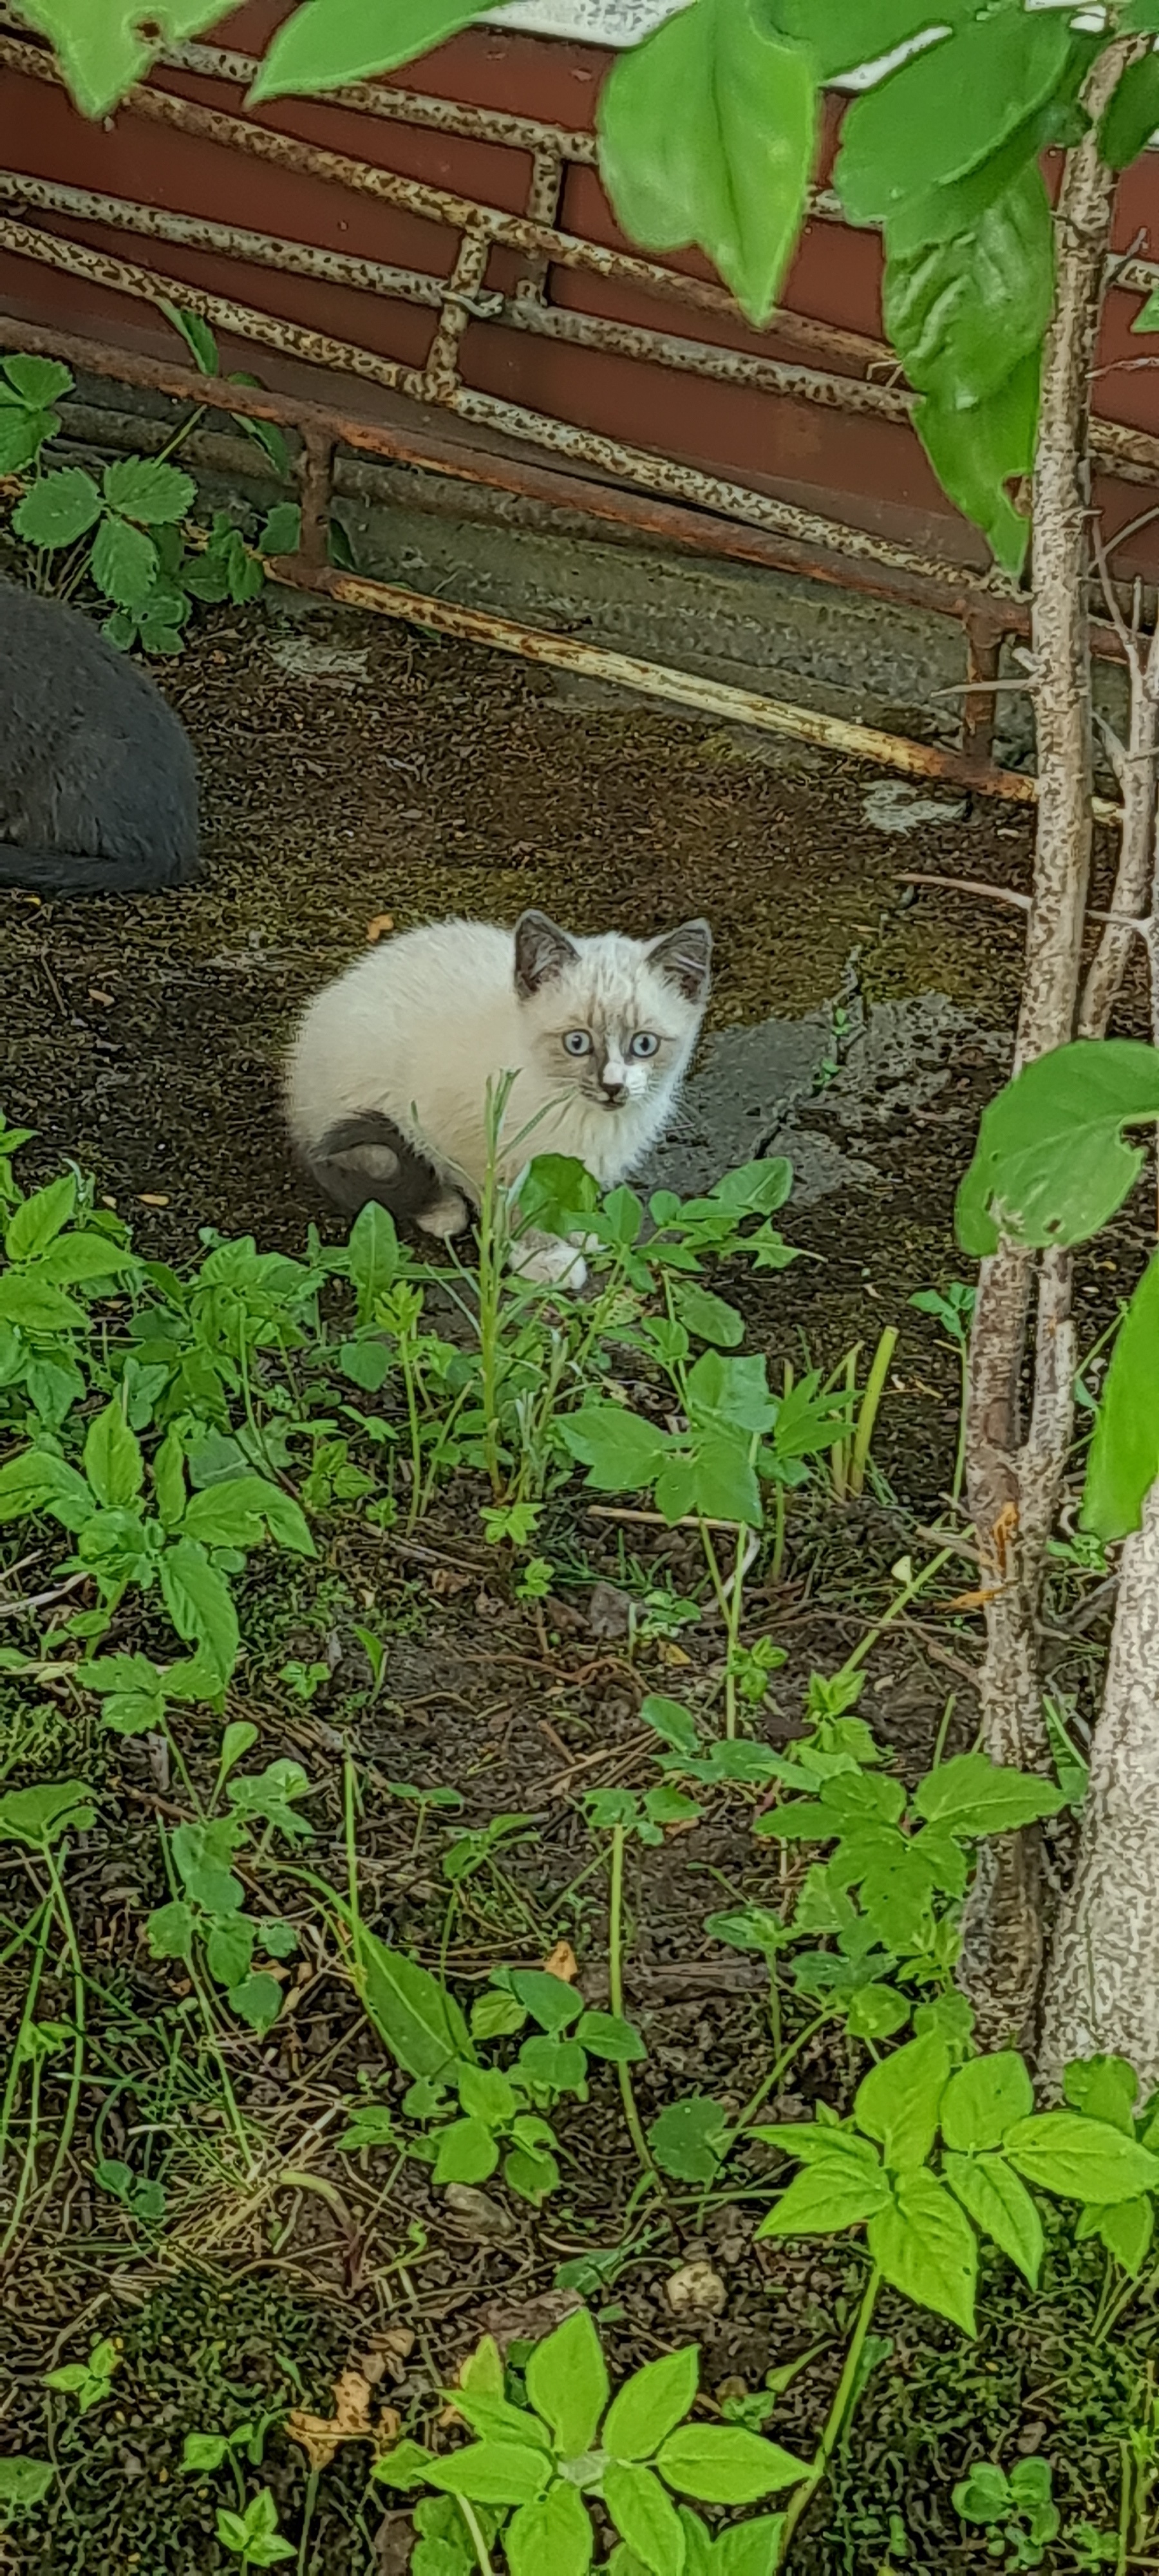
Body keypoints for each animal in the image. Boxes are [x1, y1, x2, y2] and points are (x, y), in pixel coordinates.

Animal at [285, 907, 711, 1288]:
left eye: (644, 1044)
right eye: (577, 1043)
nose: (612, 1086)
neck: (581, 1118)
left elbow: (567, 1196)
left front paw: (578, 1232)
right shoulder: (470, 1143)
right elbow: (511, 1207)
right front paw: (544, 1256)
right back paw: (443, 1210)